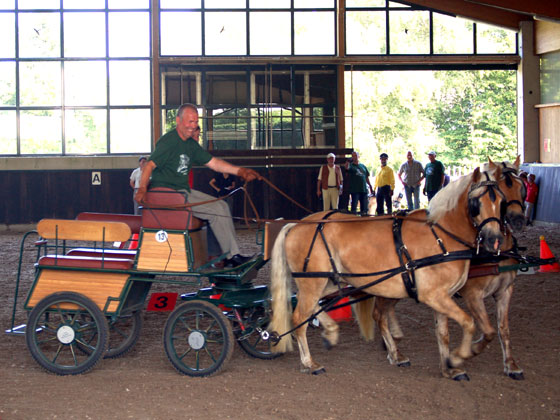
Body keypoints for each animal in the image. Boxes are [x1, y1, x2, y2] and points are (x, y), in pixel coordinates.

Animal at [268, 162, 506, 379]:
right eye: (476, 202)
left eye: (501, 201)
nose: (495, 240)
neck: (441, 235)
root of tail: (296, 225)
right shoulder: (433, 295)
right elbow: (468, 322)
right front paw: (460, 356)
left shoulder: (443, 297)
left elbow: (443, 333)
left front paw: (449, 368)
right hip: (313, 282)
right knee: (300, 316)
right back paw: (309, 363)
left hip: (331, 281)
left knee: (312, 307)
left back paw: (332, 333)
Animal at [364, 157, 528, 380]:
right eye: (503, 186)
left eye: (522, 188)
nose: (517, 220)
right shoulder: (472, 293)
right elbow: (488, 330)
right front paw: (467, 351)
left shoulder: (505, 291)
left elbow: (503, 329)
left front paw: (511, 365)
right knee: (378, 314)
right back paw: (395, 351)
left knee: (386, 310)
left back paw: (394, 340)